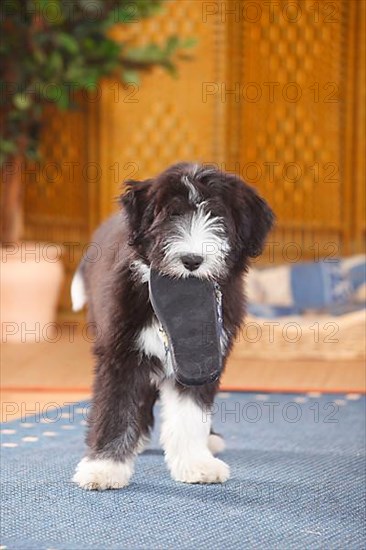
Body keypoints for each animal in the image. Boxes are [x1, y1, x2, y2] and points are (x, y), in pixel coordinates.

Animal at [71, 163, 274, 492]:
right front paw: (104, 468)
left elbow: (190, 414)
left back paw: (209, 440)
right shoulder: (120, 353)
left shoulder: (201, 356)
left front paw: (196, 463)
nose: (192, 259)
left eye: (216, 216)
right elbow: (115, 407)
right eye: (171, 215)